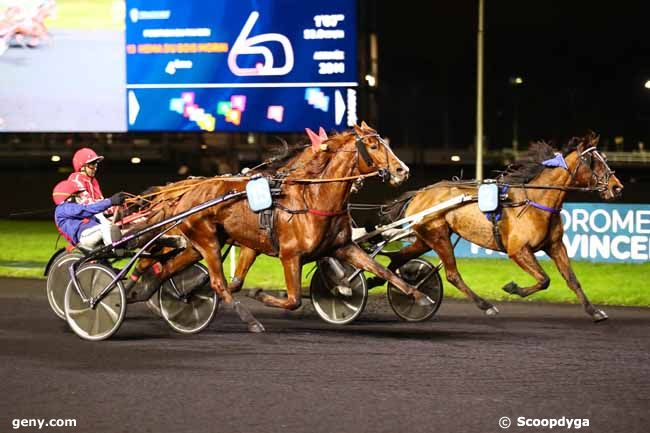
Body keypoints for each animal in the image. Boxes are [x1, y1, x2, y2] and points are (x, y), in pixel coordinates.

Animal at [130, 123, 430, 332]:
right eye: (373, 145)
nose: (402, 170)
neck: (312, 198)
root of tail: (181, 193)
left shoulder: (342, 247)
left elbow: (381, 270)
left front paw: (418, 295)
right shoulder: (289, 255)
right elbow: (292, 299)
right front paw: (260, 294)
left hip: (198, 244)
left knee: (166, 268)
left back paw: (154, 293)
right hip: (204, 241)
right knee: (211, 280)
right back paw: (248, 320)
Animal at [374, 132, 624, 320]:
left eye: (604, 158)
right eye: (594, 161)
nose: (617, 187)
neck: (535, 201)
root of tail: (419, 193)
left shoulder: (555, 245)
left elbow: (572, 279)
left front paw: (595, 311)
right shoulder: (518, 250)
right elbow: (544, 280)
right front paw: (513, 288)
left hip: (426, 238)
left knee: (398, 259)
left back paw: (392, 283)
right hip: (438, 236)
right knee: (453, 274)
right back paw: (486, 305)